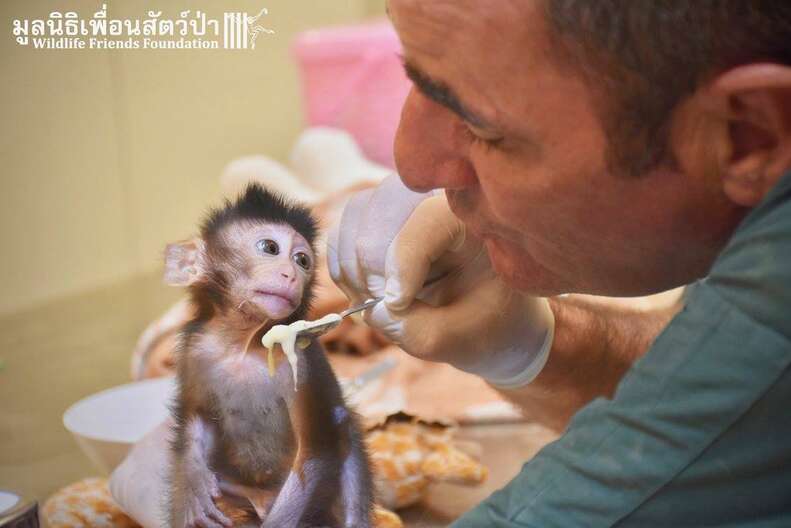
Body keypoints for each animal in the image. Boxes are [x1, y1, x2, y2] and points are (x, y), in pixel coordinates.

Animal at [164, 186, 374, 528]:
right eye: (270, 248)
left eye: (303, 260)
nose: (292, 275)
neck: (242, 346)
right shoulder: (194, 351)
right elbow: (195, 414)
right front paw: (194, 486)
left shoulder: (301, 359)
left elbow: (315, 452)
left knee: (344, 427)